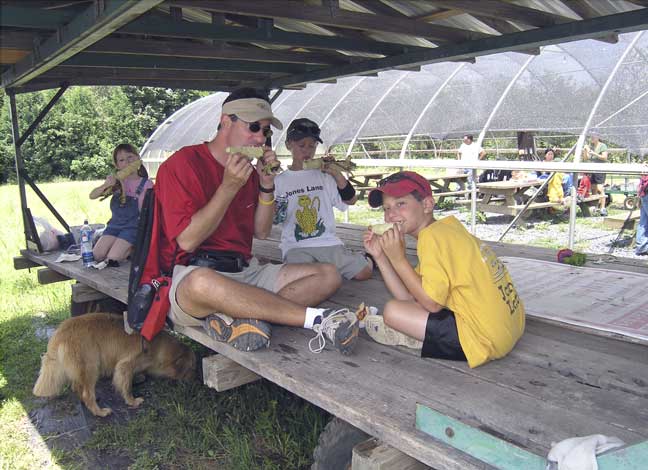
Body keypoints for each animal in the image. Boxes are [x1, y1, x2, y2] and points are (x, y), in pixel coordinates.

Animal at [33, 314, 195, 416]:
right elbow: (126, 385)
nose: (194, 380)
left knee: (77, 386)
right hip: (91, 366)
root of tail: (60, 333)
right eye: (191, 369)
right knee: (87, 393)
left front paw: (139, 378)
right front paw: (132, 401)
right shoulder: (125, 365)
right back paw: (99, 412)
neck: (157, 345)